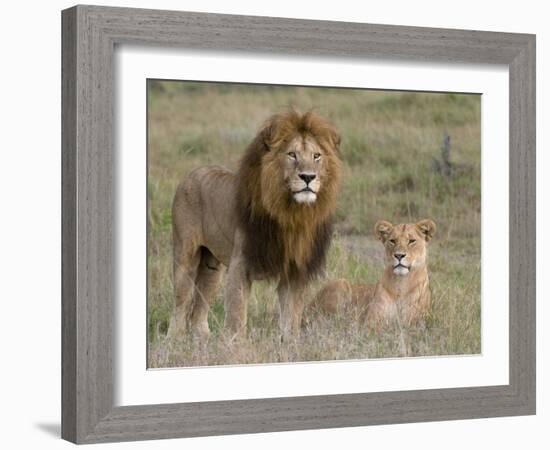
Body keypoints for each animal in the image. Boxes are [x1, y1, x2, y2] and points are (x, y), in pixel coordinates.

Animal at [169, 110, 340, 342]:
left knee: (199, 307)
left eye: (316, 156)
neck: (291, 213)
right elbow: (237, 315)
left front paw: (291, 345)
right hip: (185, 256)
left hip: (212, 266)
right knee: (181, 303)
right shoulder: (241, 265)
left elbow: (292, 318)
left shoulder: (294, 271)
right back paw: (173, 340)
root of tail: (192, 173)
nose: (308, 177)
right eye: (292, 154)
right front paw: (236, 346)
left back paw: (203, 339)